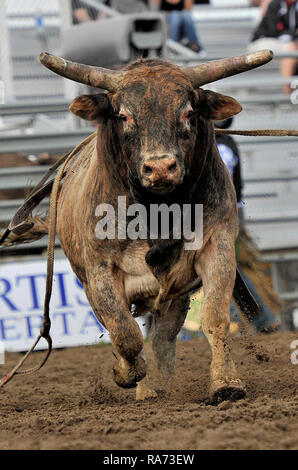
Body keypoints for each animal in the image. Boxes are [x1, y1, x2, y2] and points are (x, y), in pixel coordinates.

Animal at [15, 51, 272, 404]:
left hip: (175, 294)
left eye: (188, 112)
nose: (161, 167)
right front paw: (126, 373)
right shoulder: (101, 272)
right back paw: (146, 389)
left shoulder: (216, 247)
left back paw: (168, 385)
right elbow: (125, 333)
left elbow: (214, 317)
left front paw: (226, 383)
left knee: (163, 340)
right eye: (123, 116)